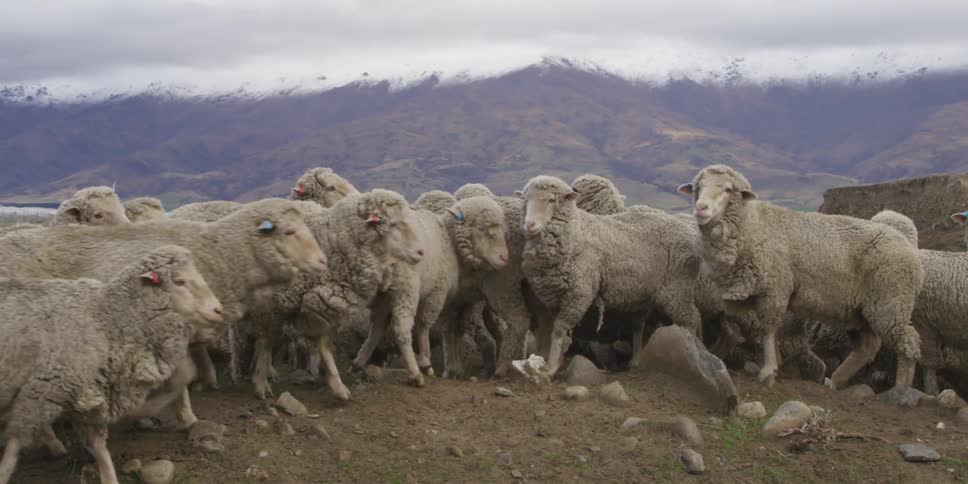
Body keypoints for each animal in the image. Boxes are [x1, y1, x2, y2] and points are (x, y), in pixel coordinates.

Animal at [0, 245, 224, 484]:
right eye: (179, 281)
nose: (219, 310)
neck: (106, 318)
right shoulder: (44, 389)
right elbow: (14, 445)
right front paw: (4, 472)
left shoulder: (88, 395)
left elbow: (99, 446)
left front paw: (108, 476)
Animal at [351, 196, 510, 381]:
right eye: (481, 228)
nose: (504, 258)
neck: (448, 240)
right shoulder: (437, 292)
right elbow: (426, 324)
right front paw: (428, 362)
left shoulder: (451, 301)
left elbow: (451, 330)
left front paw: (453, 368)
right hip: (406, 288)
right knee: (400, 327)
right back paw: (414, 373)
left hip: (382, 293)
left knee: (376, 326)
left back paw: (358, 362)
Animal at [518, 175, 702, 375]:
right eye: (525, 200)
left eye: (552, 200)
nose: (529, 225)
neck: (576, 232)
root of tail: (690, 234)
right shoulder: (552, 297)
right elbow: (549, 330)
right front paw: (549, 360)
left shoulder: (579, 293)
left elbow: (559, 329)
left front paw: (551, 367)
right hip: (645, 295)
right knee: (639, 326)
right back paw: (635, 361)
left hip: (677, 289)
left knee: (692, 320)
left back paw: (694, 356)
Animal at [677, 164, 925, 391]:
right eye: (698, 188)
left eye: (728, 189)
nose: (701, 208)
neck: (753, 226)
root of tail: (907, 243)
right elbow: (771, 332)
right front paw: (777, 364)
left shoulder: (775, 288)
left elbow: (768, 329)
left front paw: (768, 371)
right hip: (861, 310)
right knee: (867, 348)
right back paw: (835, 381)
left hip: (890, 302)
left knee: (908, 342)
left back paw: (901, 390)